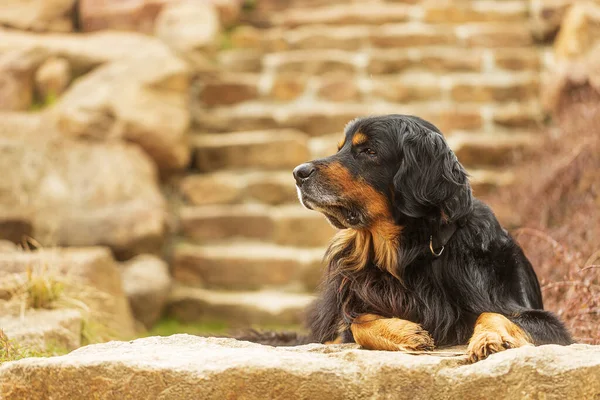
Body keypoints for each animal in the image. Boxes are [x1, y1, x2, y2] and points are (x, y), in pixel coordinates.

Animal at [292, 114, 576, 360]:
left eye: (369, 151)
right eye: (341, 148)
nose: (298, 173)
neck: (416, 249)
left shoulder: (549, 323)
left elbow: (494, 313)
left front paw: (489, 338)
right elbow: (357, 322)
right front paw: (407, 333)